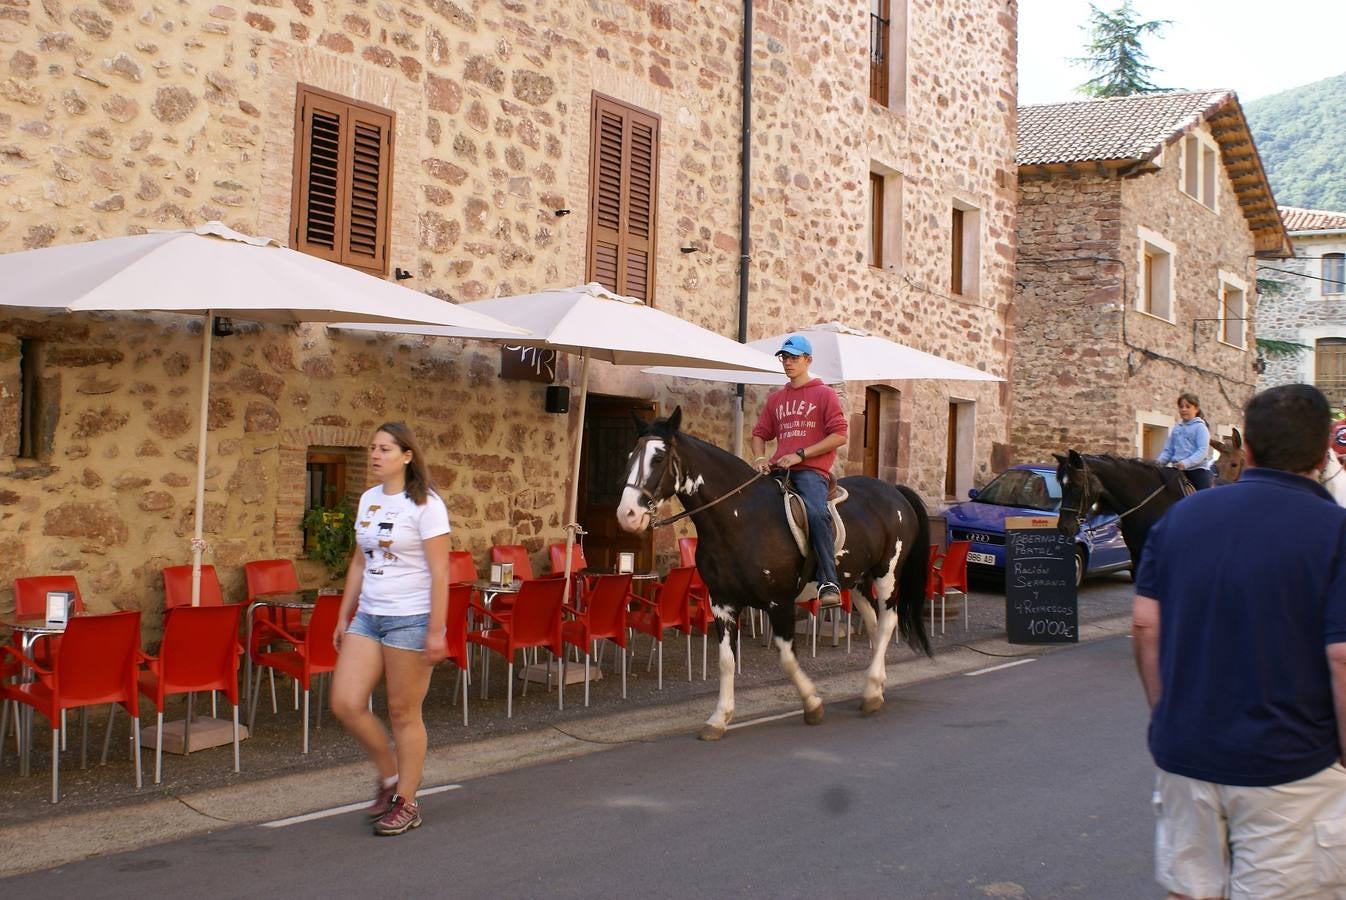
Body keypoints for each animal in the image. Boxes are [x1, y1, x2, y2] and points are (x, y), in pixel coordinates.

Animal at [616, 411, 931, 742]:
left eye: (658, 458)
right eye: (630, 456)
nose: (627, 514)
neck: (741, 517)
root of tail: (895, 492)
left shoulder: (779, 603)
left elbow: (787, 657)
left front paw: (812, 704)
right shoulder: (722, 604)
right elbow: (726, 661)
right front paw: (719, 718)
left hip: (887, 575)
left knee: (888, 621)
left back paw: (871, 692)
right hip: (856, 580)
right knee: (874, 622)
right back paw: (877, 686)